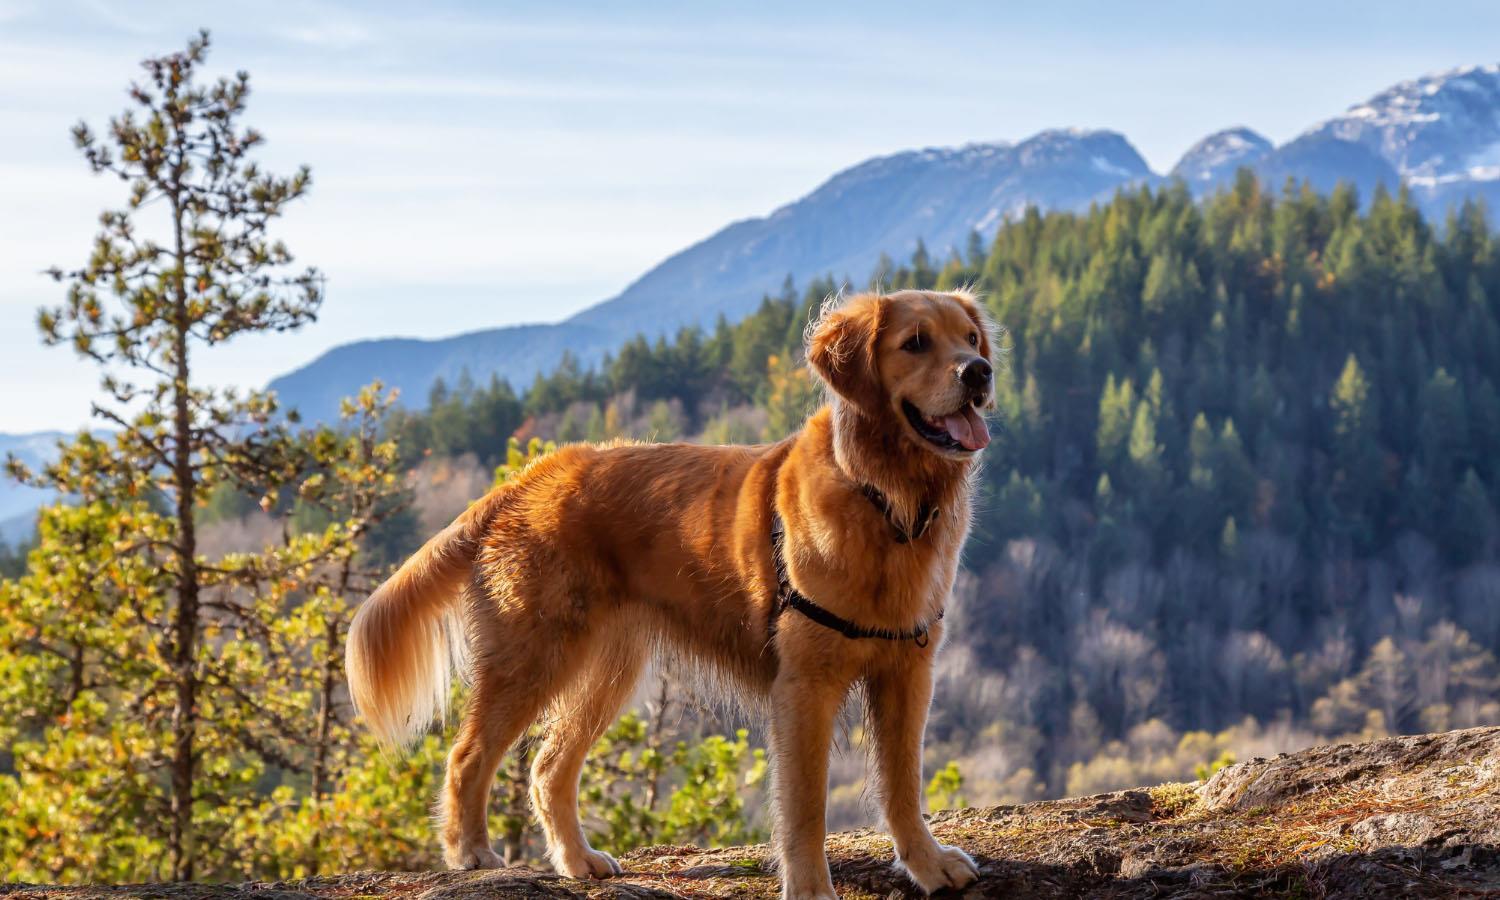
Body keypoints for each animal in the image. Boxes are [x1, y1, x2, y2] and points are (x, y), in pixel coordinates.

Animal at [343, 289, 990, 900]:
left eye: (969, 337)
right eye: (914, 342)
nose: (980, 371)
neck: (884, 497)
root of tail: (525, 480)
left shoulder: (908, 672)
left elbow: (904, 784)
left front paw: (927, 863)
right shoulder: (805, 684)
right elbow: (806, 806)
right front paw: (810, 886)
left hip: (607, 669)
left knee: (549, 768)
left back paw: (577, 860)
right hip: (533, 658)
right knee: (467, 756)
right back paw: (471, 851)